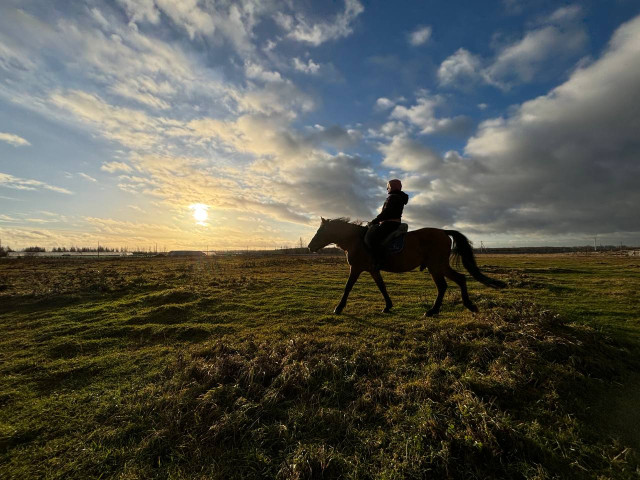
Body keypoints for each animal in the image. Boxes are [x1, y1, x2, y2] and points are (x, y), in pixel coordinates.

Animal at [306, 217, 504, 316]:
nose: (309, 247)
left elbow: (347, 287)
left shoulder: (357, 268)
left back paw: (433, 311)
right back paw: (469, 306)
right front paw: (388, 306)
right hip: (440, 265)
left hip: (435, 266)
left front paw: (338, 308)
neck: (356, 240)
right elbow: (382, 287)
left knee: (443, 286)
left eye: (320, 231)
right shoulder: (373, 269)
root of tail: (443, 232)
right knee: (459, 279)